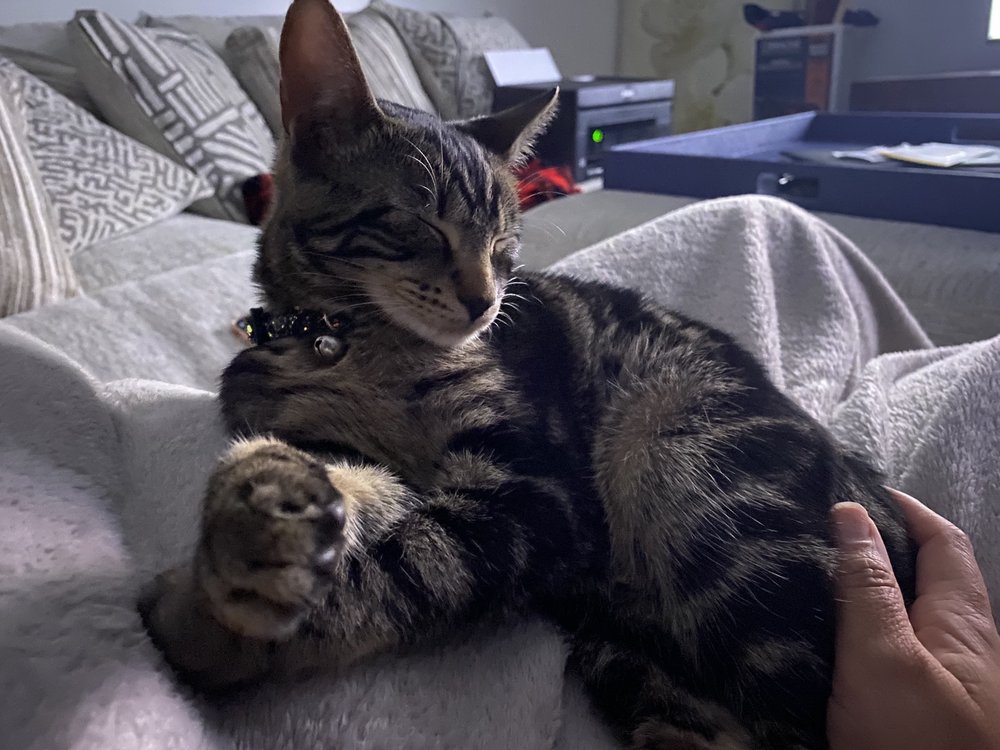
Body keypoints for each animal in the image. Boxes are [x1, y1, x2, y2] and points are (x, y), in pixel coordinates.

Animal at [139, 1, 916, 747]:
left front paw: (211, 627)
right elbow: (344, 480)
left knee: (797, 719)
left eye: (503, 244)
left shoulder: (536, 490)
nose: (485, 301)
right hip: (621, 641)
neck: (348, 341)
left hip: (693, 476)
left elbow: (406, 568)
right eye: (420, 225)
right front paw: (258, 510)